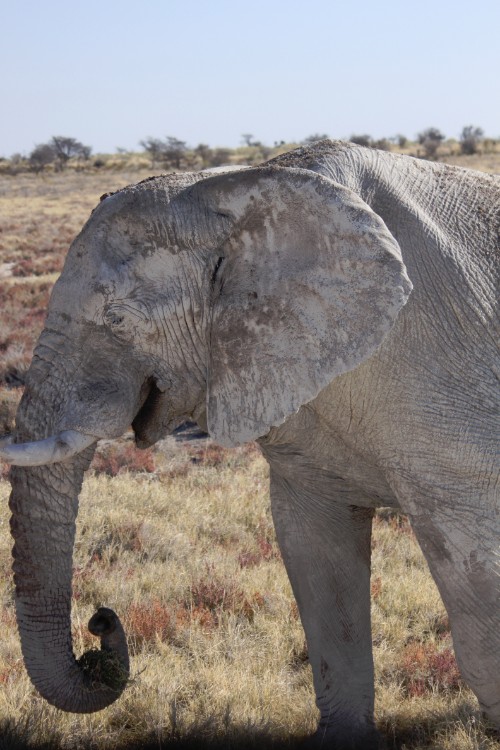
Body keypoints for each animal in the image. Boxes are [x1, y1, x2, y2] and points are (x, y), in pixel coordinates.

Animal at [0, 142, 500, 750]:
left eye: (118, 321)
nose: (100, 623)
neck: (248, 188)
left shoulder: (437, 371)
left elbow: (474, 577)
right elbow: (316, 558)